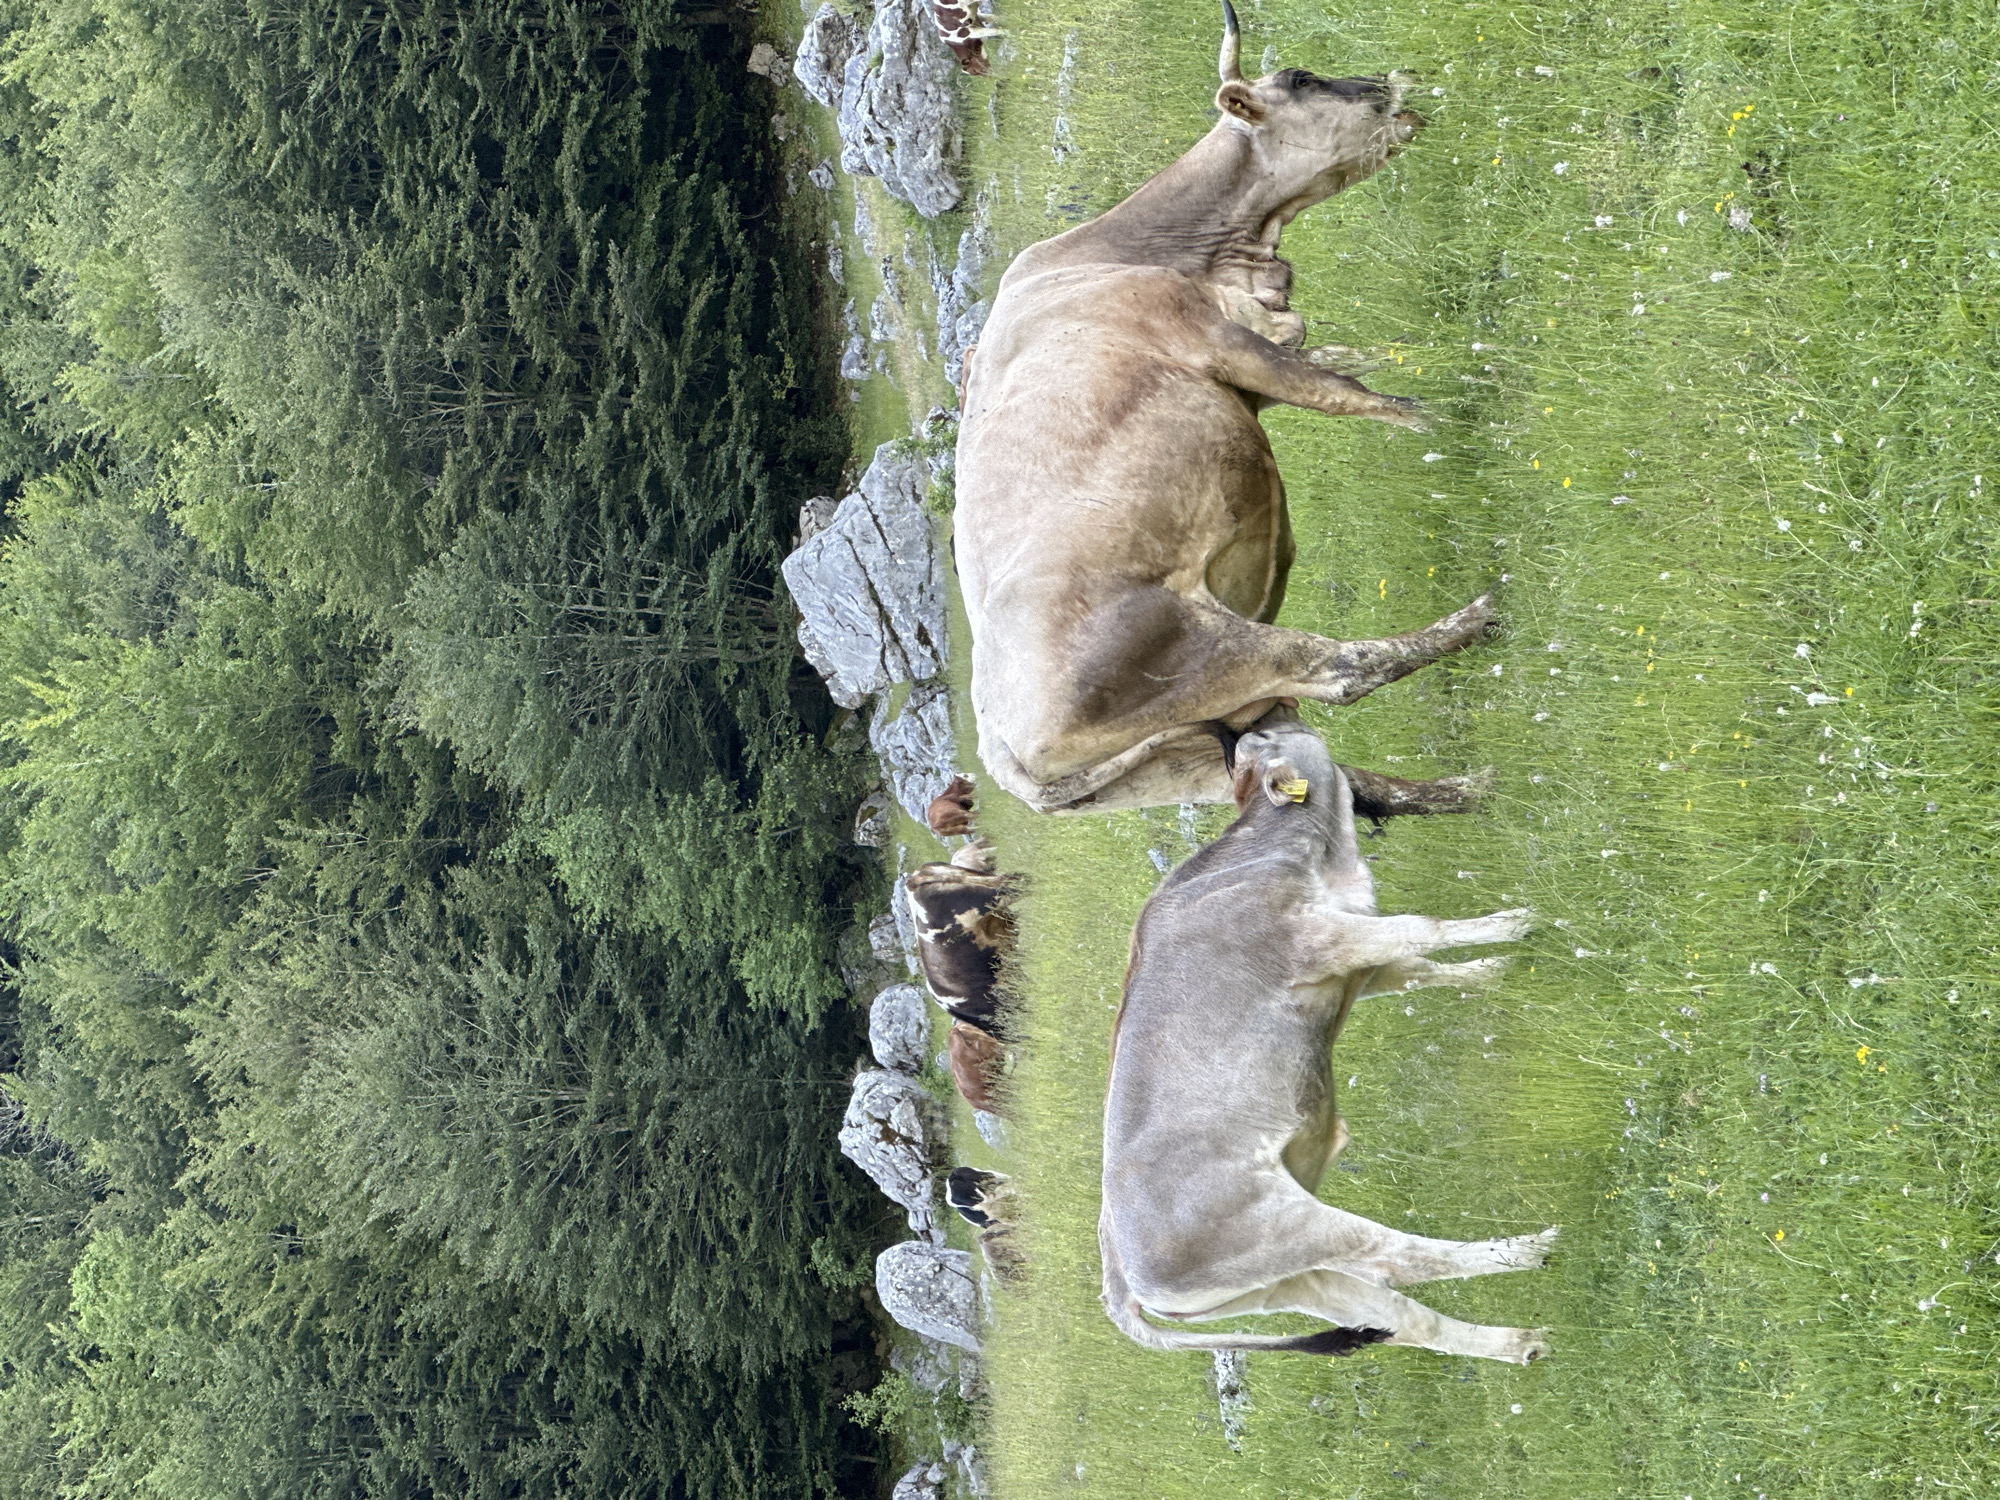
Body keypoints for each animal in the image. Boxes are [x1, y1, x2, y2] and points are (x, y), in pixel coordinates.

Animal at [955, 3, 1498, 815]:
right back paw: (1481, 620)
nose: (1389, 80)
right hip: (1204, 645)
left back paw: (1472, 793)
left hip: (1192, 755)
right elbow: (1344, 392)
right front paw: (1441, 422)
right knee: (1346, 668)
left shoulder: (1258, 350)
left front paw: (1477, 366)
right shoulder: (1213, 338)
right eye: (1300, 79)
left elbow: (1355, 360)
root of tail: (1004, 755)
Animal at [1099, 710, 1559, 1363]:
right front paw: (1511, 926)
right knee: (1400, 1257)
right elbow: (1423, 928)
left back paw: (1517, 1344)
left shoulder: (1357, 962)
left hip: (1289, 1282)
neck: (1329, 860)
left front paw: (1493, 964)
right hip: (1286, 1225)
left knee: (1404, 1317)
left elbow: (1419, 967)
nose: (1266, 715)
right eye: (1261, 740)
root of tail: (1115, 1263)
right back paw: (1518, 1250)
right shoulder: (1322, 939)